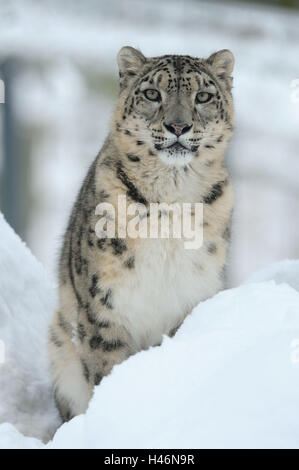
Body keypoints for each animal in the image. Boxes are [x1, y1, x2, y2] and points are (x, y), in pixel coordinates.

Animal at [48, 46, 234, 422]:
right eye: (152, 94)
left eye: (203, 97)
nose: (178, 125)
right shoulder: (103, 305)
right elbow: (106, 368)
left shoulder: (193, 295)